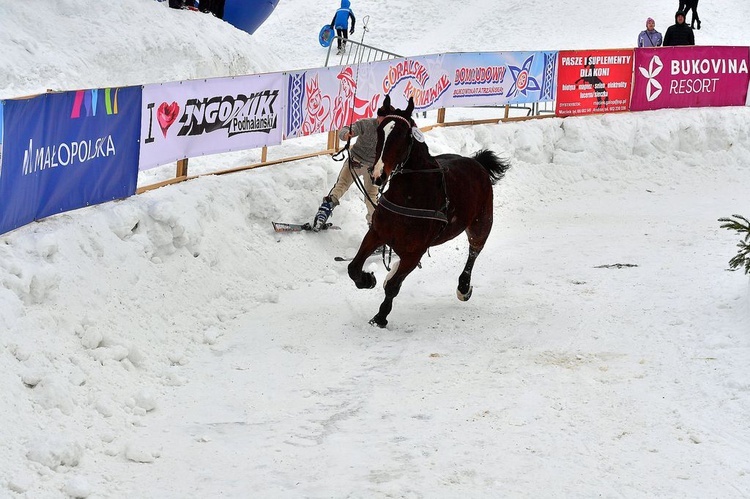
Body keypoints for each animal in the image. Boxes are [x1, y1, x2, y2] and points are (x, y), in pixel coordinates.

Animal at [350, 94, 516, 328]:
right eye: (381, 131)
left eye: (402, 135)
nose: (377, 175)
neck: (409, 194)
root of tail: (477, 163)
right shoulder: (376, 233)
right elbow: (354, 268)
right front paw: (368, 279)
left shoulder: (415, 251)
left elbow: (393, 286)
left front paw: (380, 316)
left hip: (481, 224)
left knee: (474, 252)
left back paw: (463, 287)